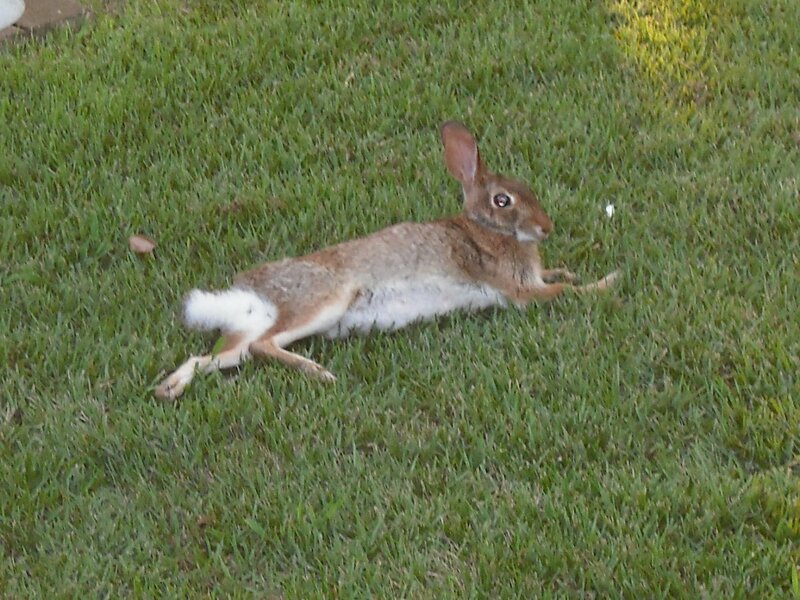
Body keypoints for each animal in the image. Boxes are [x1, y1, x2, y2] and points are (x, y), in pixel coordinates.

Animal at [155, 121, 618, 399]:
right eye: (503, 201)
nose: (546, 228)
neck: (484, 229)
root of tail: (252, 294)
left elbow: (557, 276)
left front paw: (578, 270)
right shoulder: (517, 289)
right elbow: (563, 291)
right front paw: (609, 282)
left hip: (252, 330)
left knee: (219, 355)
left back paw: (169, 389)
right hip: (324, 299)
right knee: (262, 346)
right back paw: (319, 373)